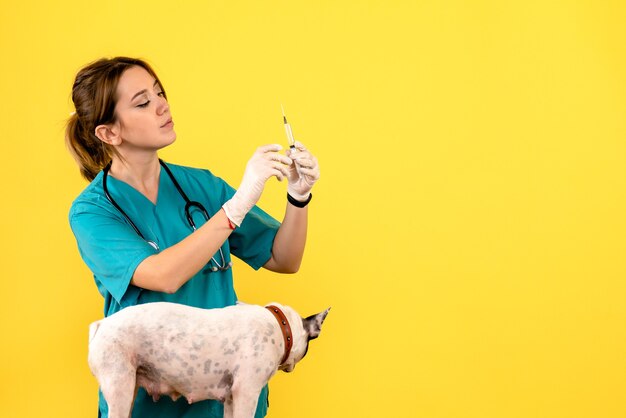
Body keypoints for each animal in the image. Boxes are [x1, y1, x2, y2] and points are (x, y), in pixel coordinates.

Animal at [89, 302, 332, 418]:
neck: (281, 325)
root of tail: (101, 324)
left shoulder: (232, 398)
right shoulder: (247, 392)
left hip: (128, 389)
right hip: (119, 388)